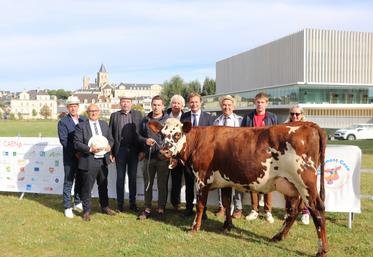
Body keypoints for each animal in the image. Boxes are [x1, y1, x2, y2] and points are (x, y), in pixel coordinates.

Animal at [148, 118, 328, 256]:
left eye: (177, 134)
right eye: (162, 134)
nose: (164, 152)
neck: (198, 142)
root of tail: (309, 124)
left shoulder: (202, 180)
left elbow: (200, 206)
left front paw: (194, 228)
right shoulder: (225, 181)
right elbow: (227, 203)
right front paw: (228, 225)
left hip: (305, 182)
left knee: (317, 209)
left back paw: (322, 250)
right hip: (291, 185)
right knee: (293, 210)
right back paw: (278, 236)